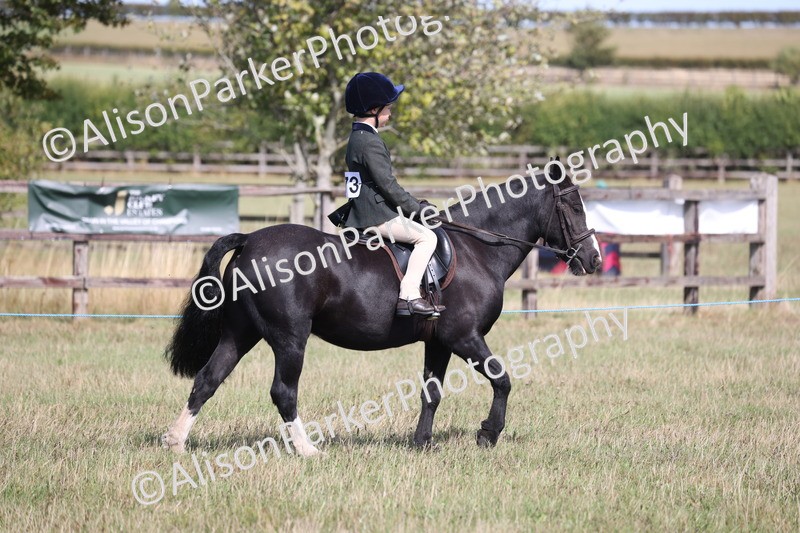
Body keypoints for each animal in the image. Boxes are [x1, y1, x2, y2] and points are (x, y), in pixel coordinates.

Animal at [162, 165, 601, 456]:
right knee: (283, 392)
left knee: (207, 380)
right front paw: (488, 434)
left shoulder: (439, 341)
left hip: (240, 334)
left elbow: (431, 393)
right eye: (574, 206)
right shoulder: (464, 336)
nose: (594, 259)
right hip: (289, 339)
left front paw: (421, 444)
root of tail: (250, 240)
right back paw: (308, 450)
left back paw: (176, 442)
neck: (477, 250)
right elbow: (502, 379)